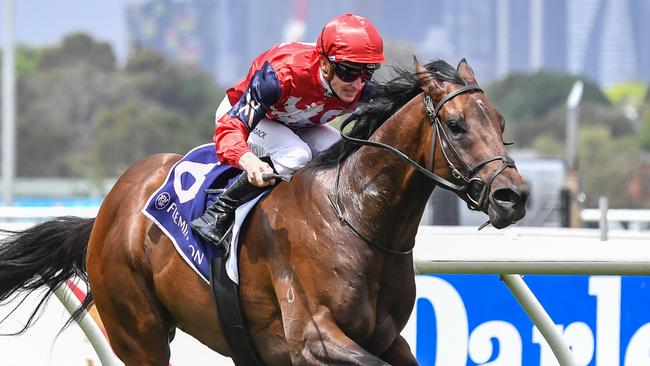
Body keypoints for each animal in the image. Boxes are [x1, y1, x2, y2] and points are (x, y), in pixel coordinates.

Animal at [0, 58, 528, 364]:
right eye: (456, 125)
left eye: (501, 122)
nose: (514, 196)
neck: (355, 220)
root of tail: (110, 208)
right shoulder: (313, 339)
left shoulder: (386, 339)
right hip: (138, 331)